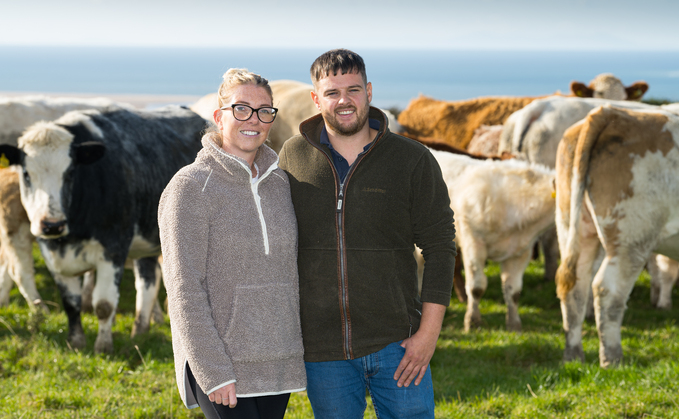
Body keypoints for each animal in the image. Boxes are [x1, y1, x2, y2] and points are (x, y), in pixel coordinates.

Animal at [0, 104, 205, 352]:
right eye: (26, 174)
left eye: (70, 173)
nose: (52, 225)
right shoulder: (53, 255)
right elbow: (71, 303)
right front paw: (76, 341)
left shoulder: (114, 247)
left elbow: (104, 304)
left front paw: (103, 346)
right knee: (147, 278)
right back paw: (140, 330)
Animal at [420, 146, 556, 334]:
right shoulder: (473, 243)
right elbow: (476, 287)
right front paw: (472, 321)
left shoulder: (521, 252)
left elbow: (513, 291)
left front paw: (514, 325)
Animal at [556, 105, 679, 368]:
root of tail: (610, 112)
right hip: (631, 239)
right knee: (607, 290)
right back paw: (612, 358)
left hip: (574, 228)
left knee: (575, 288)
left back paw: (573, 356)